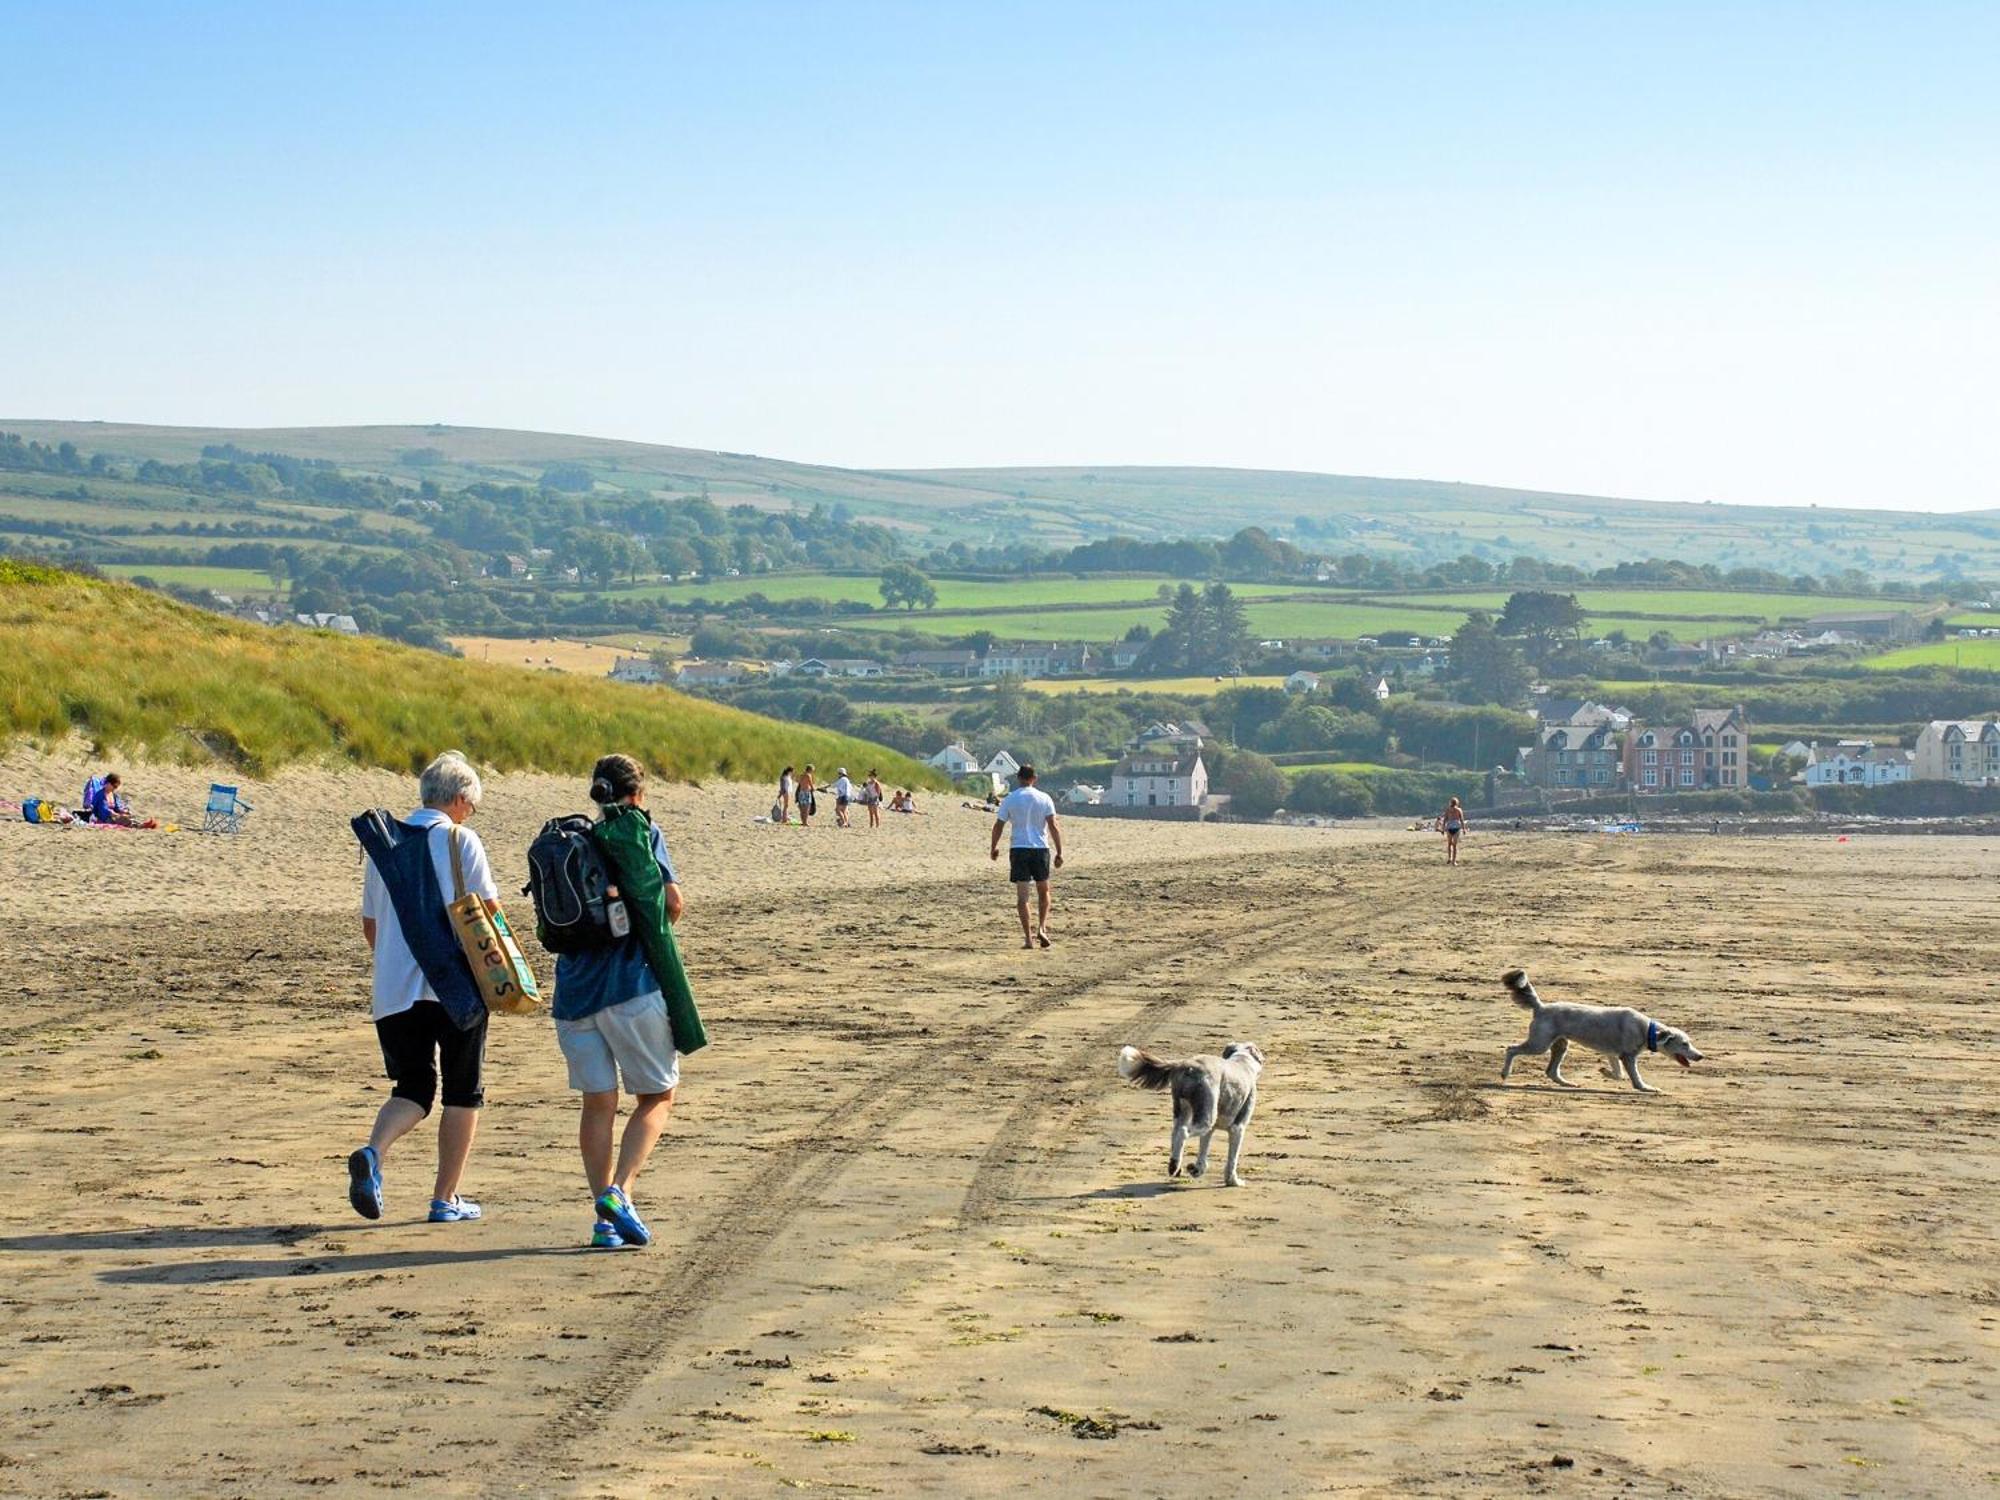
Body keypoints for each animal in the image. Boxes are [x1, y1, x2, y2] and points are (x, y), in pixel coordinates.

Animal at [1112, 1048, 1264, 1184]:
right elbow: (1233, 1159)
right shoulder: (1237, 1128)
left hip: (1184, 1109)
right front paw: (1233, 1181)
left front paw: (1197, 1170)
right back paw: (1175, 1164)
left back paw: (1175, 1166)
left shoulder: (1211, 1130)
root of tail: (1185, 1065)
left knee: (1175, 1134)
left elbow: (1203, 1151)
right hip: (1206, 1117)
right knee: (1182, 1132)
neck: (1242, 1061)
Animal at [1504, 968, 1704, 1096]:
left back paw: (1568, 1084)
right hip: (1540, 1044)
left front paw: (1604, 1072)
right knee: (1511, 1049)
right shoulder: (1628, 1056)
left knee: (1551, 1071)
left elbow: (1618, 1074)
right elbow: (1635, 1077)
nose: (1701, 1056)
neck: (1647, 1030)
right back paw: (1505, 1073)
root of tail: (1541, 1007)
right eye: (1685, 1044)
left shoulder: (1613, 1054)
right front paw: (1646, 1088)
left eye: (1689, 1043)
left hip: (1560, 1045)